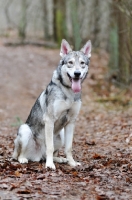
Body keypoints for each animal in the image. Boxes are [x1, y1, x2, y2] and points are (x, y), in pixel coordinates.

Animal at [12, 38, 91, 169]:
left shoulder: (71, 122)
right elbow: (50, 147)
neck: (69, 92)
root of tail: (38, 156)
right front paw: (49, 165)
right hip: (25, 129)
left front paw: (72, 163)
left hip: (62, 134)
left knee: (52, 154)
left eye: (82, 63)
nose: (77, 73)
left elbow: (69, 148)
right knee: (20, 155)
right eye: (70, 62)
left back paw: (60, 159)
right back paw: (24, 159)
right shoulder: (49, 120)